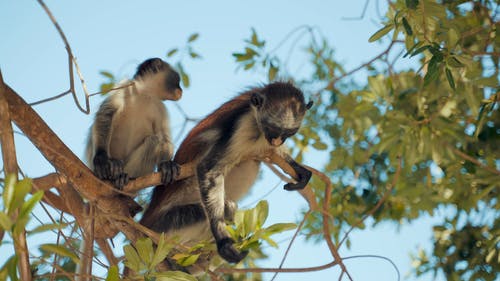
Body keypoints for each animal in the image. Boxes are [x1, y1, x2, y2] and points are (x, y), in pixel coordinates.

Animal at [85, 58, 182, 190]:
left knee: (153, 140)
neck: (145, 94)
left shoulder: (160, 107)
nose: (181, 91)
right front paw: (101, 158)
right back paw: (114, 167)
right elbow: (106, 114)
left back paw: (123, 177)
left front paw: (166, 164)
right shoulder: (124, 86)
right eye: (178, 80)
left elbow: (163, 137)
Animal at [141, 81, 312, 262]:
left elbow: (273, 154)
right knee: (226, 209)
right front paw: (224, 241)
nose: (277, 140)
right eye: (271, 127)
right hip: (166, 224)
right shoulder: (243, 124)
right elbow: (209, 170)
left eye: (290, 132)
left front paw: (299, 169)